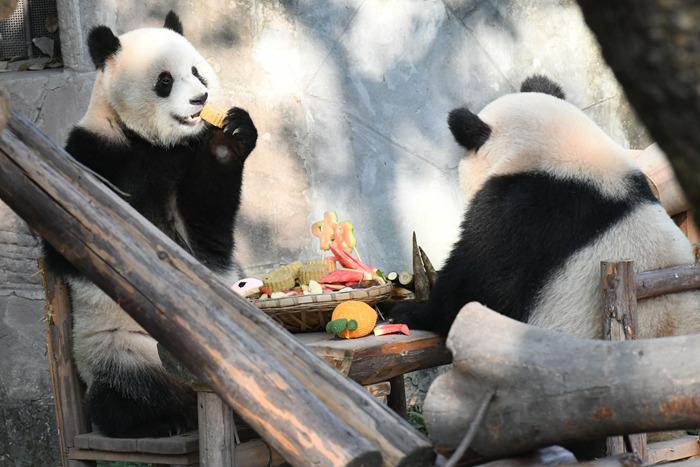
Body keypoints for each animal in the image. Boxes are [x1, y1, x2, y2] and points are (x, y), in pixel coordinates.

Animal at [40, 11, 258, 436]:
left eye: (197, 72)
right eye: (165, 81)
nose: (200, 99)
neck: (152, 142)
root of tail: (191, 395)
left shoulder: (186, 161)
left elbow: (208, 226)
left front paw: (233, 134)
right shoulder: (96, 156)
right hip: (115, 348)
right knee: (118, 394)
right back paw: (161, 422)